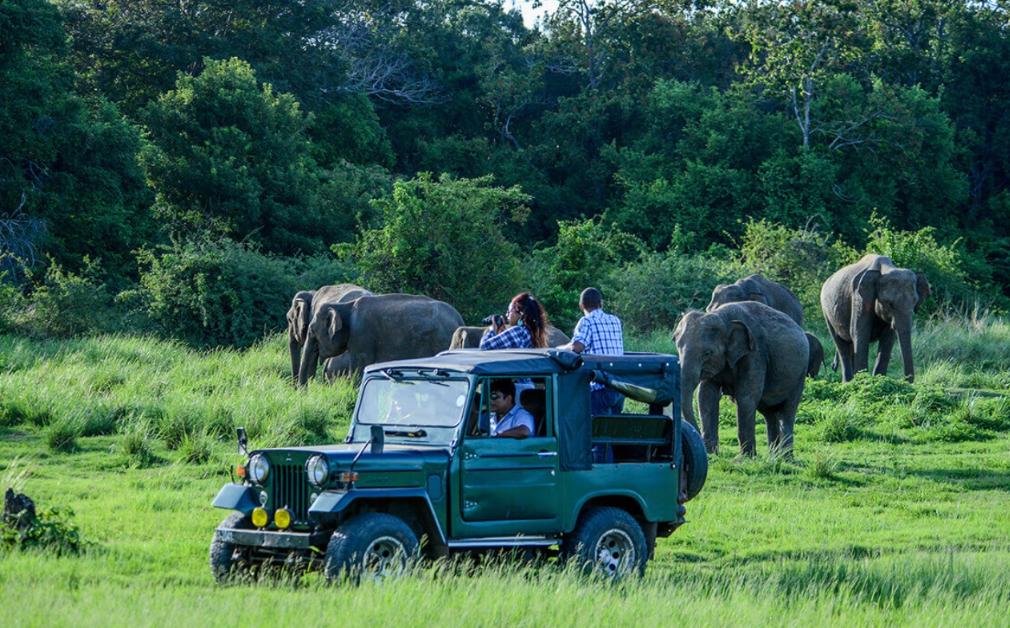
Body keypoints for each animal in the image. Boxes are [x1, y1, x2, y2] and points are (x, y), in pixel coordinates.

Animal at [294, 292, 462, 385]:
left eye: (312, 331)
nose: (305, 392)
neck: (344, 306)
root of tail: (459, 319)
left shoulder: (361, 336)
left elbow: (358, 369)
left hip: (440, 341)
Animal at [674, 300, 808, 458]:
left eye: (707, 353)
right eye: (677, 347)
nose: (696, 436)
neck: (722, 317)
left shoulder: (755, 353)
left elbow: (746, 397)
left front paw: (745, 458)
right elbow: (705, 396)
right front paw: (711, 454)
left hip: (800, 374)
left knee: (788, 411)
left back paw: (785, 458)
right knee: (769, 413)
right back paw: (773, 457)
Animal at [820, 254, 929, 383]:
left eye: (915, 302)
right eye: (889, 304)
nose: (906, 381)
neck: (886, 269)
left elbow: (888, 339)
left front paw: (878, 380)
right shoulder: (860, 297)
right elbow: (860, 333)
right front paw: (864, 382)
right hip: (826, 311)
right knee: (841, 345)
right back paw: (847, 382)